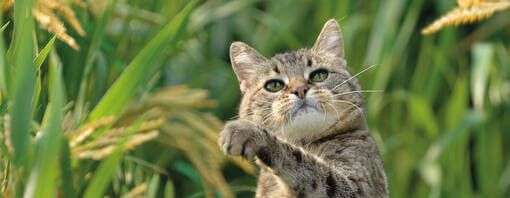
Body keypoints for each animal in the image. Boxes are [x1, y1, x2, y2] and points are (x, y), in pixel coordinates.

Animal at [217, 19, 388, 198]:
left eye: (319, 75)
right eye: (274, 85)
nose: (299, 89)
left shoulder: (357, 187)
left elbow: (300, 161)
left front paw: (247, 132)